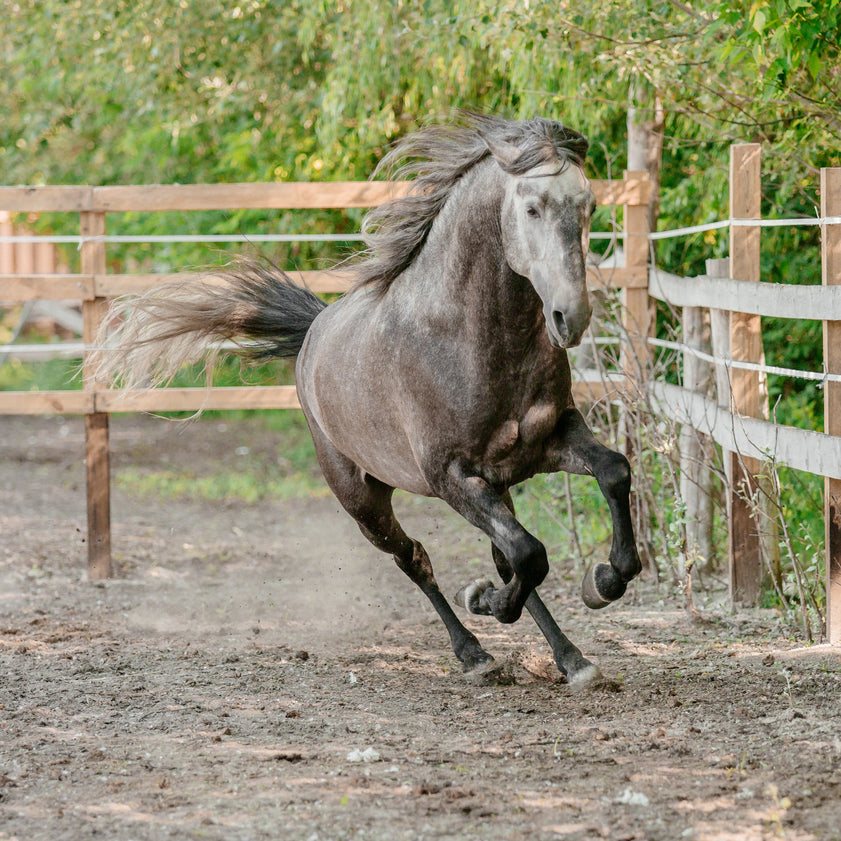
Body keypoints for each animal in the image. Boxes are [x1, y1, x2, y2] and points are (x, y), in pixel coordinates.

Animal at [99, 113, 642, 689]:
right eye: (533, 207)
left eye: (588, 206)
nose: (570, 317)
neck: (470, 337)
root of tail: (314, 329)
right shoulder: (450, 477)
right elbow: (529, 552)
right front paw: (488, 603)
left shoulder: (548, 439)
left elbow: (611, 473)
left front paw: (603, 580)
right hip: (363, 501)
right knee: (417, 560)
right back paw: (474, 653)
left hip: (493, 485)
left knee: (504, 556)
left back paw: (570, 658)